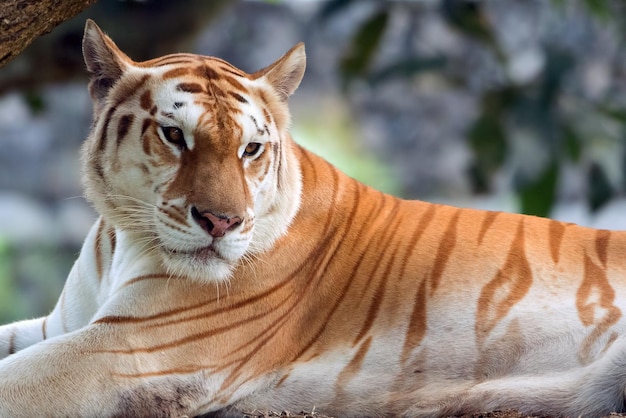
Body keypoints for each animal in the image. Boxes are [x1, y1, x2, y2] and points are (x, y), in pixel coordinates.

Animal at [0, 18, 624, 416]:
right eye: (174, 136)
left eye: (250, 149)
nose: (222, 223)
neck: (124, 239)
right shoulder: (64, 326)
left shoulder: (127, 349)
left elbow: (16, 382)